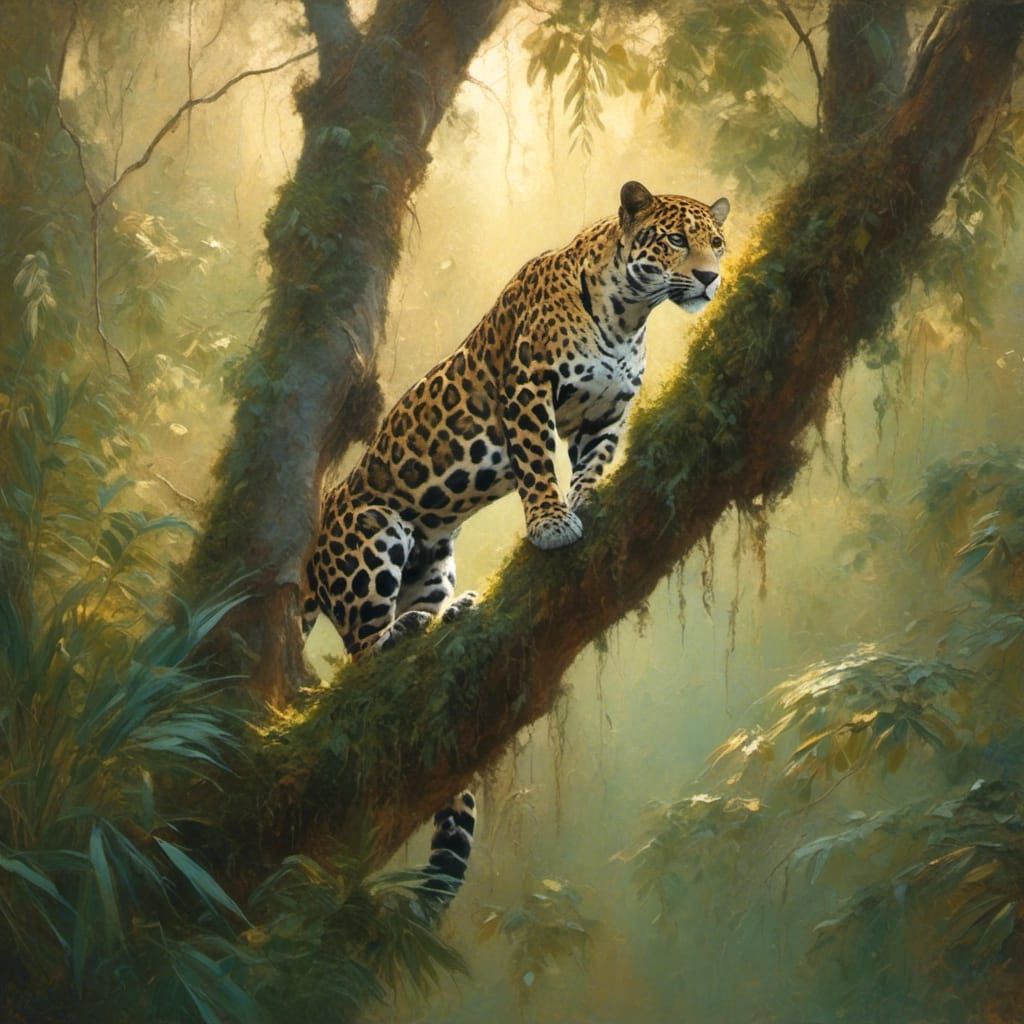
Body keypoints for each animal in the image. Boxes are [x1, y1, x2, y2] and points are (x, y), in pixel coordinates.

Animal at [301, 180, 730, 656]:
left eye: (717, 243)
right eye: (676, 240)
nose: (710, 277)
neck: (627, 316)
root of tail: (311, 550)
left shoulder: (607, 410)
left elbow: (595, 460)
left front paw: (584, 496)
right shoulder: (528, 386)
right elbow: (537, 464)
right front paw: (552, 524)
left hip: (433, 565)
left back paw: (448, 612)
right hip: (373, 536)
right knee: (361, 647)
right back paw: (401, 630)